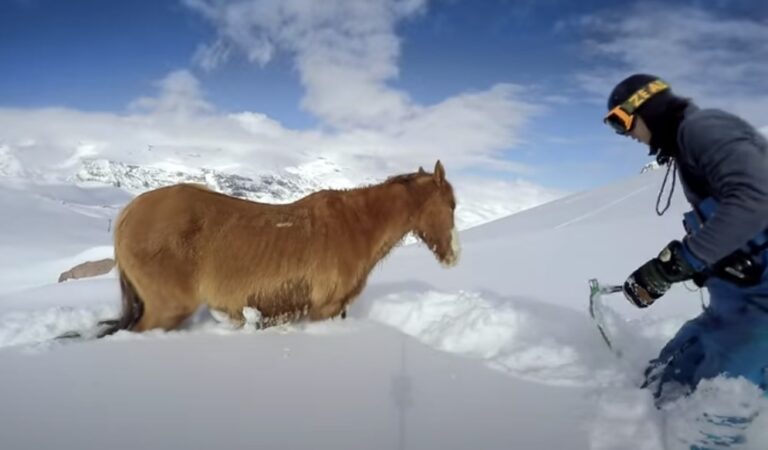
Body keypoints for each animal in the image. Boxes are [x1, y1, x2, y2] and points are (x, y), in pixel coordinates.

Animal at [97, 160, 456, 336]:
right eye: (452, 204)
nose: (452, 257)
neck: (356, 223)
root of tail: (130, 212)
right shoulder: (323, 309)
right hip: (166, 309)